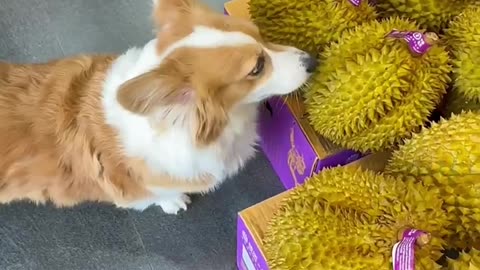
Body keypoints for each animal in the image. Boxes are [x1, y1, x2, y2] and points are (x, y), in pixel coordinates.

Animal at [0, 0, 316, 215]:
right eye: (257, 68)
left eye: (260, 33)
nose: (312, 61)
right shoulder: (136, 190)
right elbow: (157, 196)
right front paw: (174, 202)